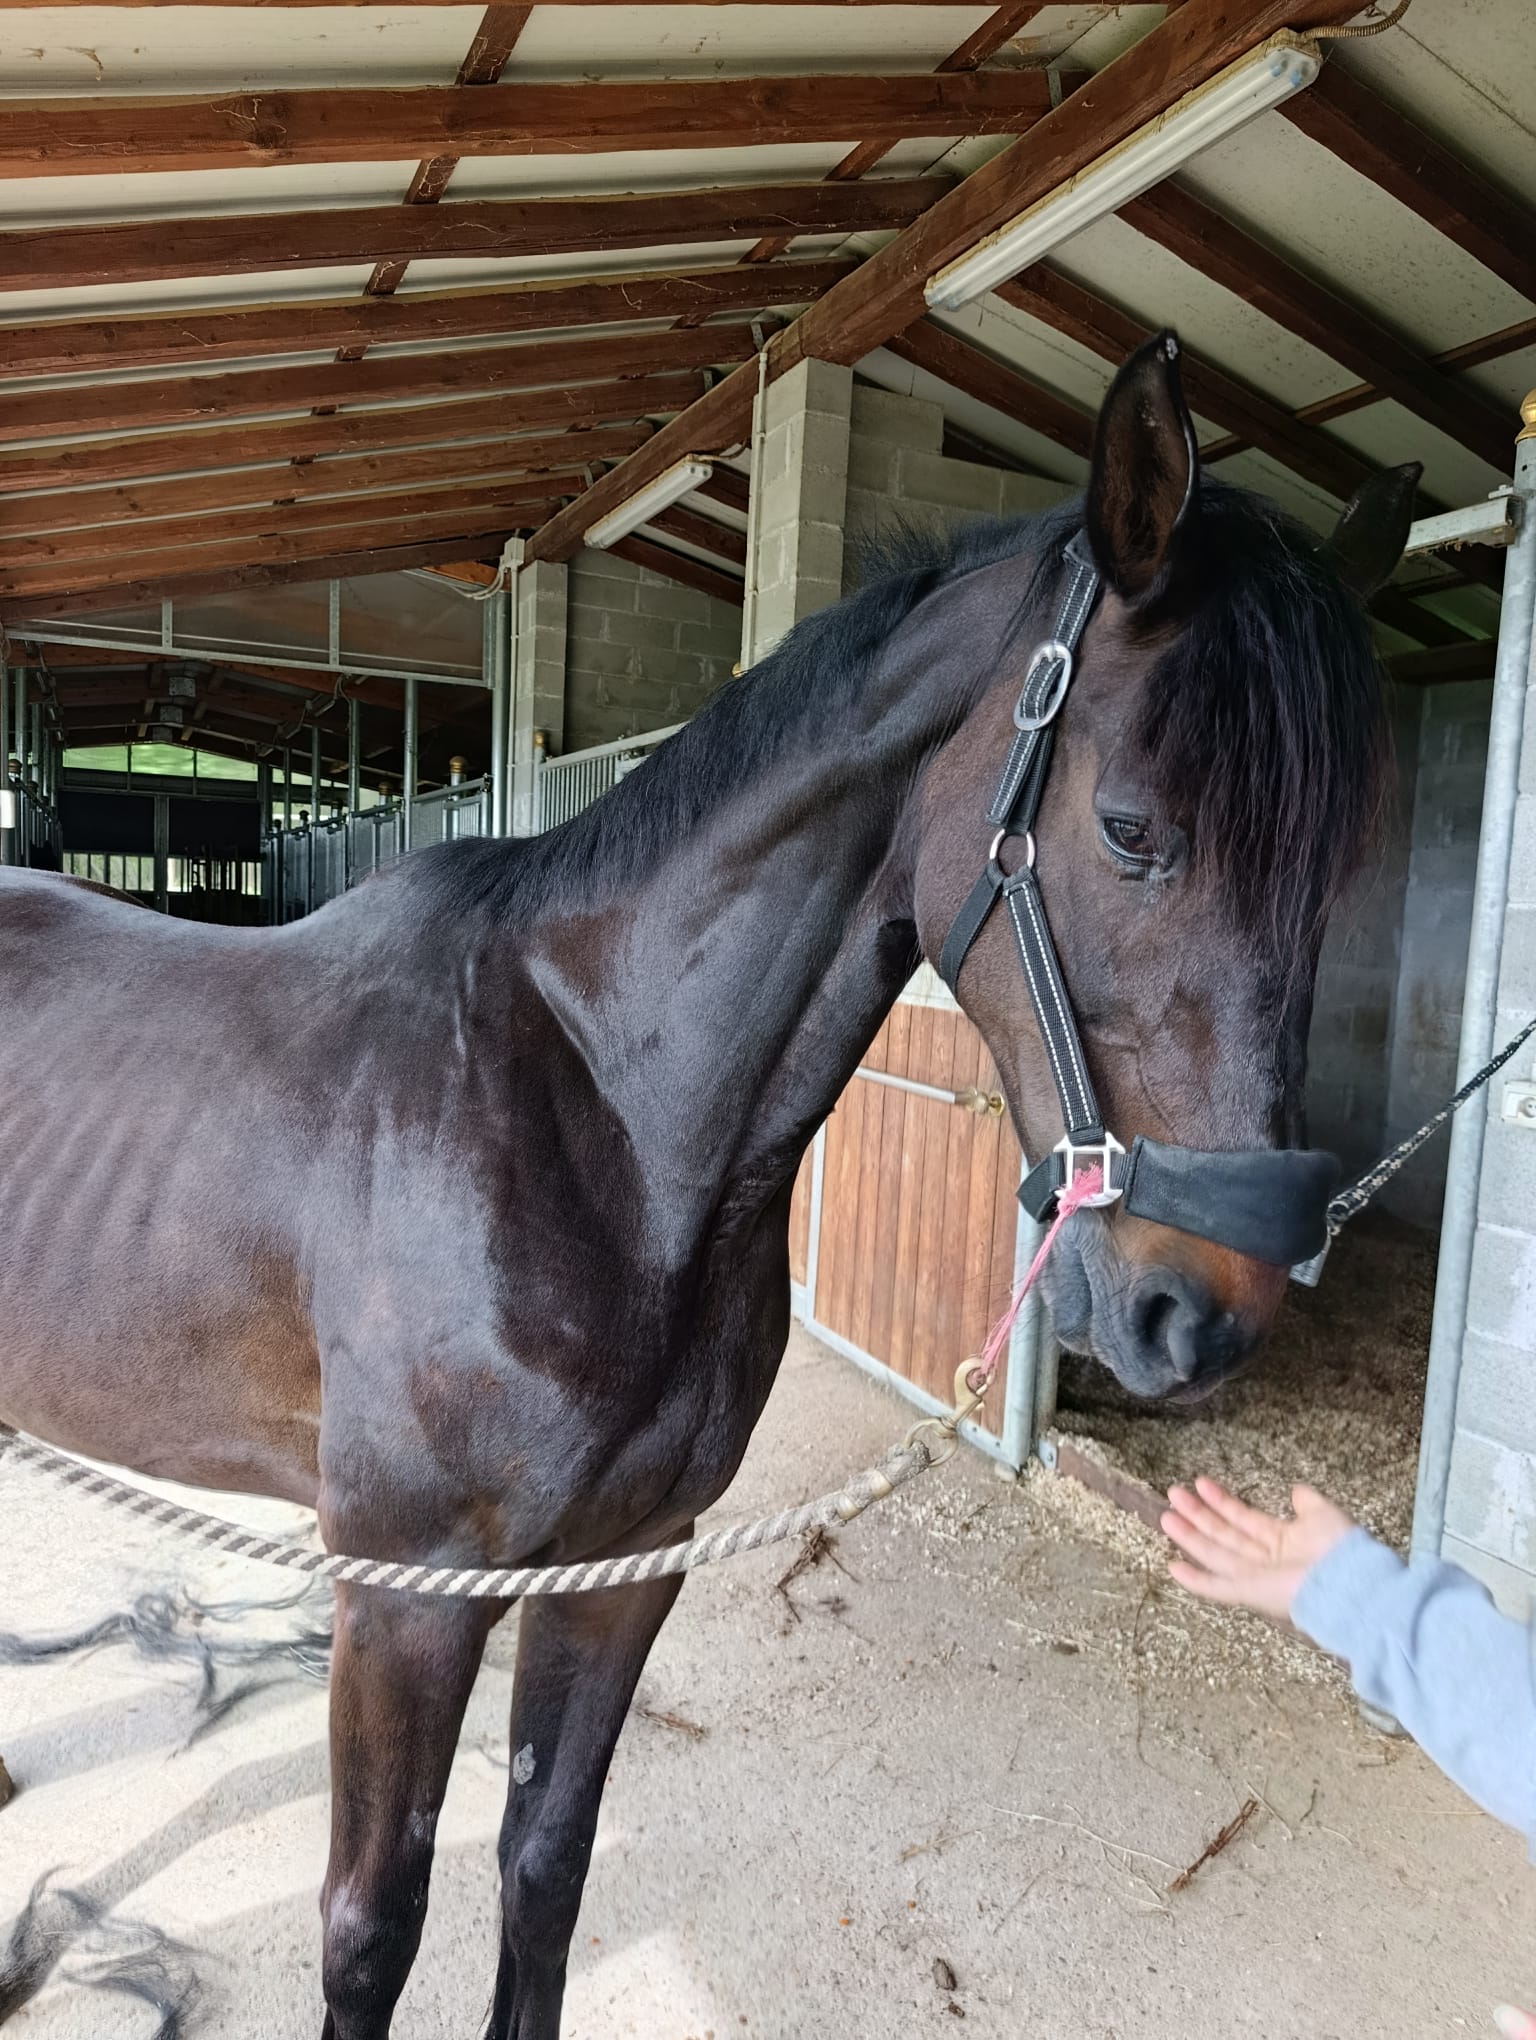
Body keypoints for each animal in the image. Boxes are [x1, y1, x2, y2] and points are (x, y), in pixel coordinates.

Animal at [0, 333, 1416, 2038]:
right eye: (1133, 828)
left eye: (1336, 872)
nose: (1203, 1315)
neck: (593, 1121)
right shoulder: (405, 1596)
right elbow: (369, 1929)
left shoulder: (629, 1568)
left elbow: (543, 1872)